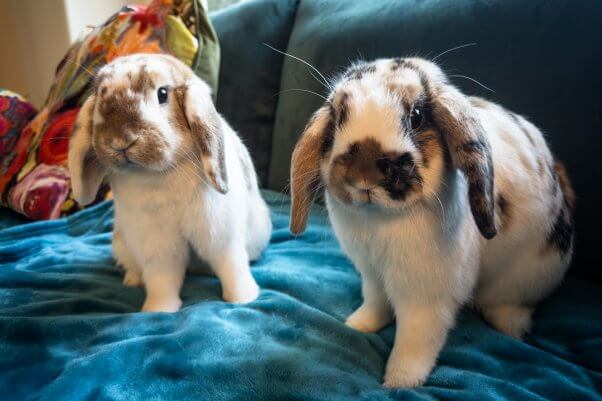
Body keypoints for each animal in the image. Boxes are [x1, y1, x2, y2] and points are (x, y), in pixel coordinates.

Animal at [67, 54, 270, 312]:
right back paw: (132, 280)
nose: (120, 141)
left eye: (163, 93)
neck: (159, 174)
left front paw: (243, 298)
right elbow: (162, 278)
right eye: (100, 95)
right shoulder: (156, 244)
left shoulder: (220, 234)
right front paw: (159, 309)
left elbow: (231, 266)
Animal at [288, 57, 576, 386]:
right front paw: (358, 325)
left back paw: (508, 326)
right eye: (337, 119)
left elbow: (415, 339)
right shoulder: (373, 275)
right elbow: (375, 303)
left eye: (416, 117)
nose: (364, 175)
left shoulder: (426, 295)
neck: (381, 219)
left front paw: (399, 382)